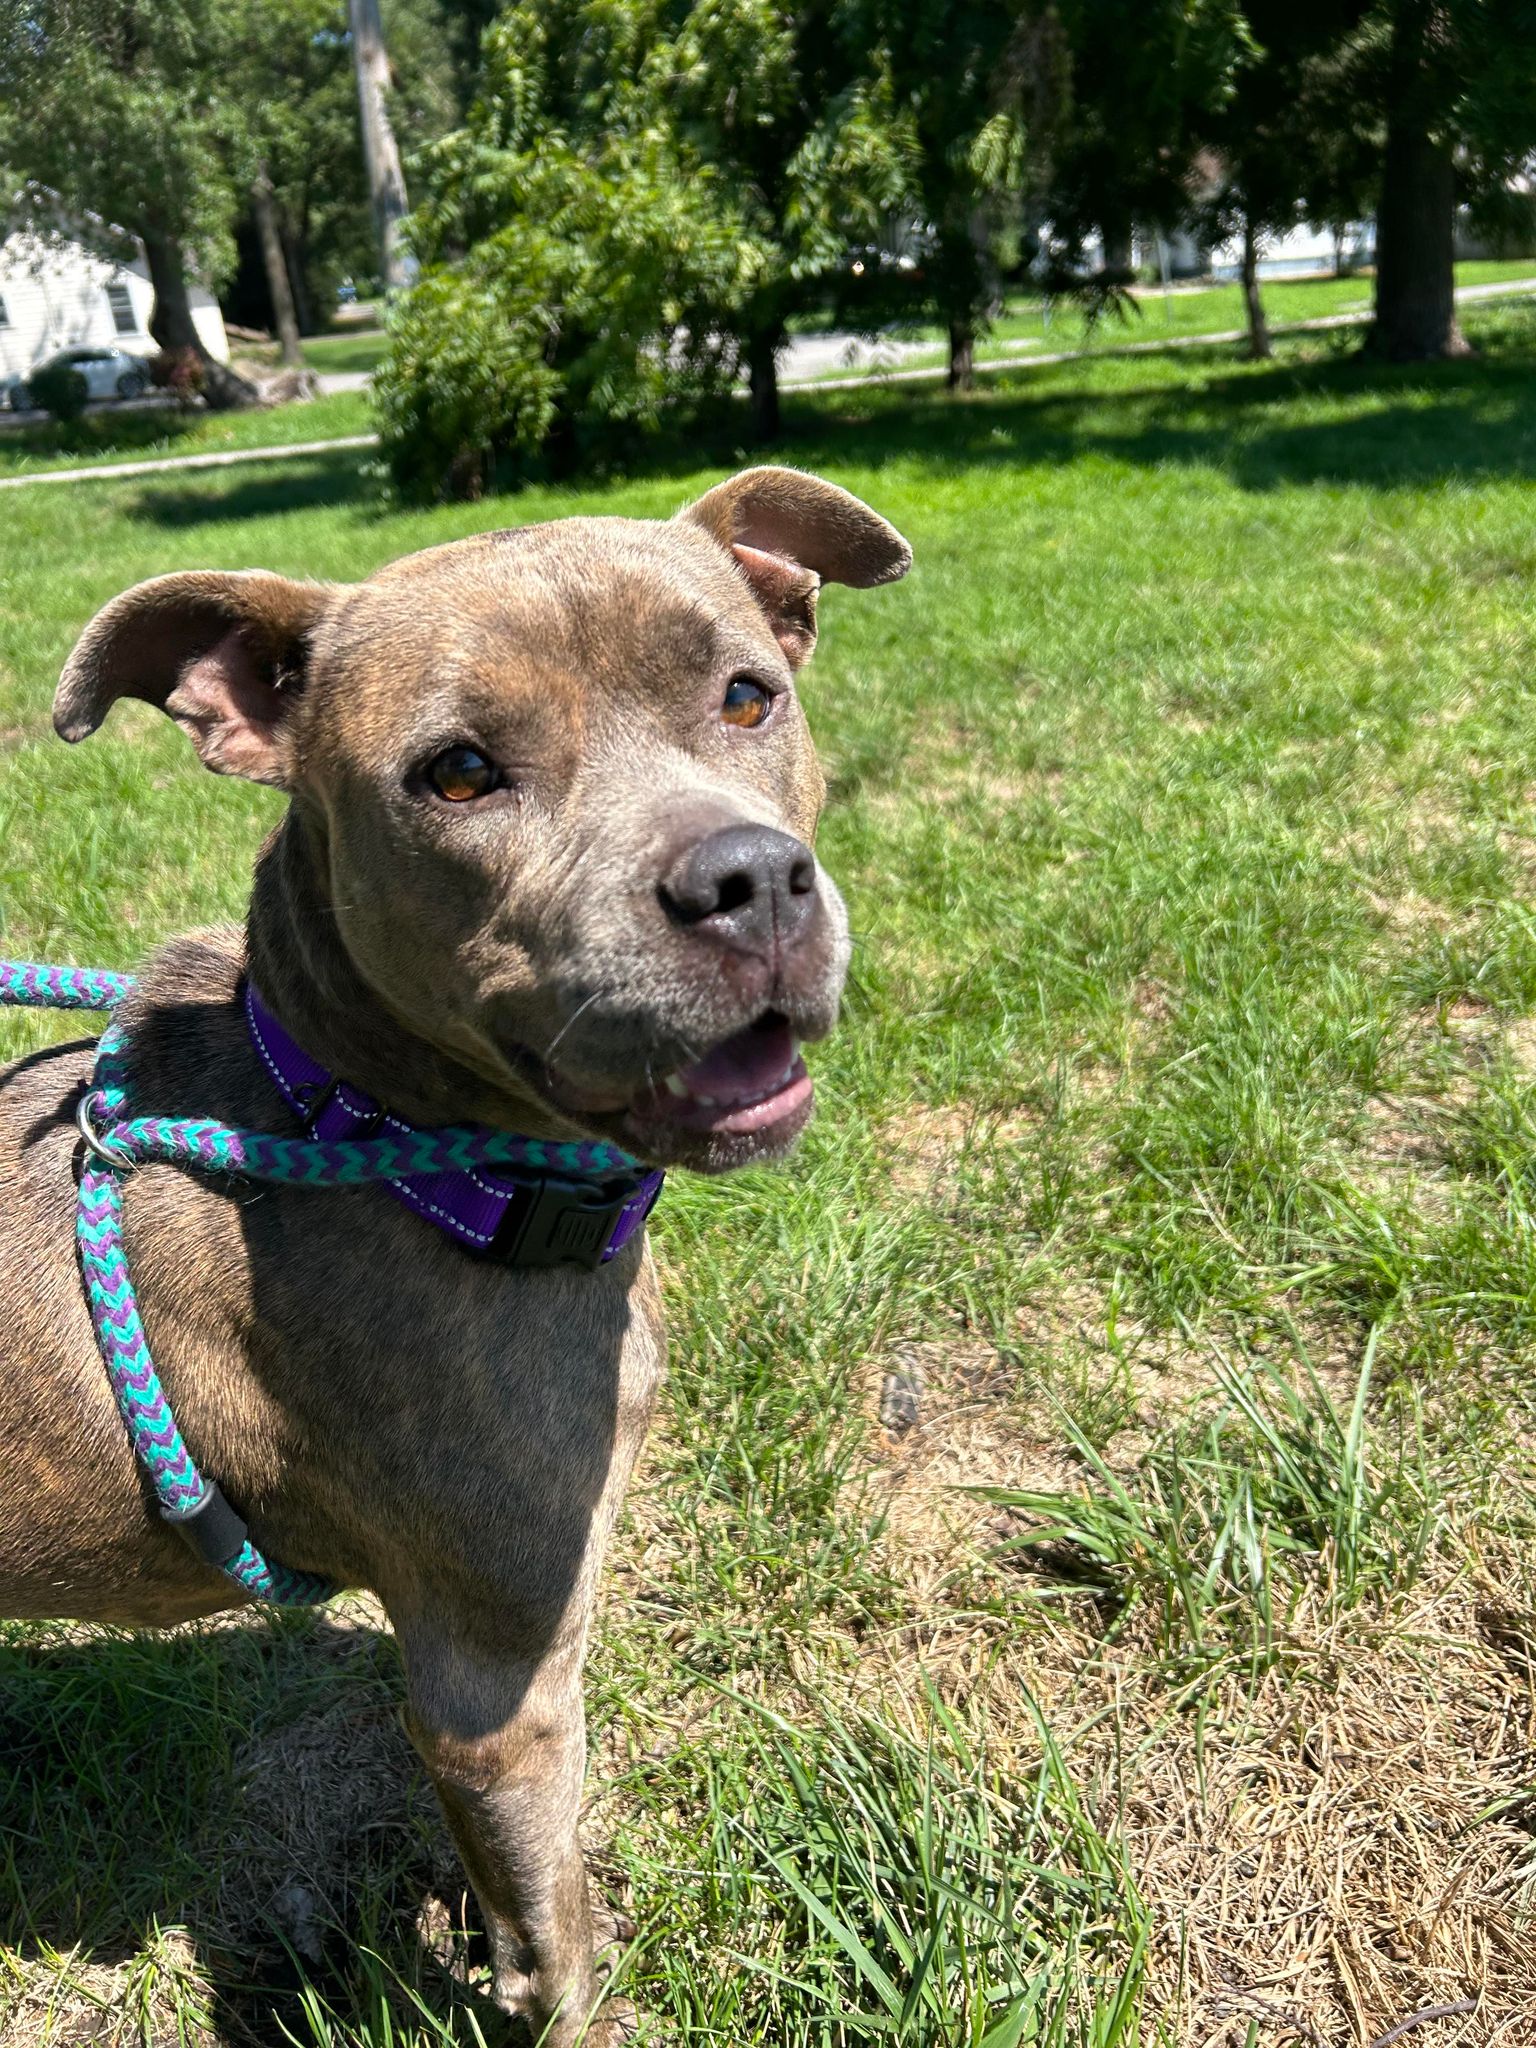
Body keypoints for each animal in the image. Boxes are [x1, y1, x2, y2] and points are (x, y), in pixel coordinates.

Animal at [0, 468, 913, 2048]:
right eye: (460, 774)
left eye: (748, 695)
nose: (746, 878)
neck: (373, 1134)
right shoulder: (502, 1693)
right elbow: (558, 1939)